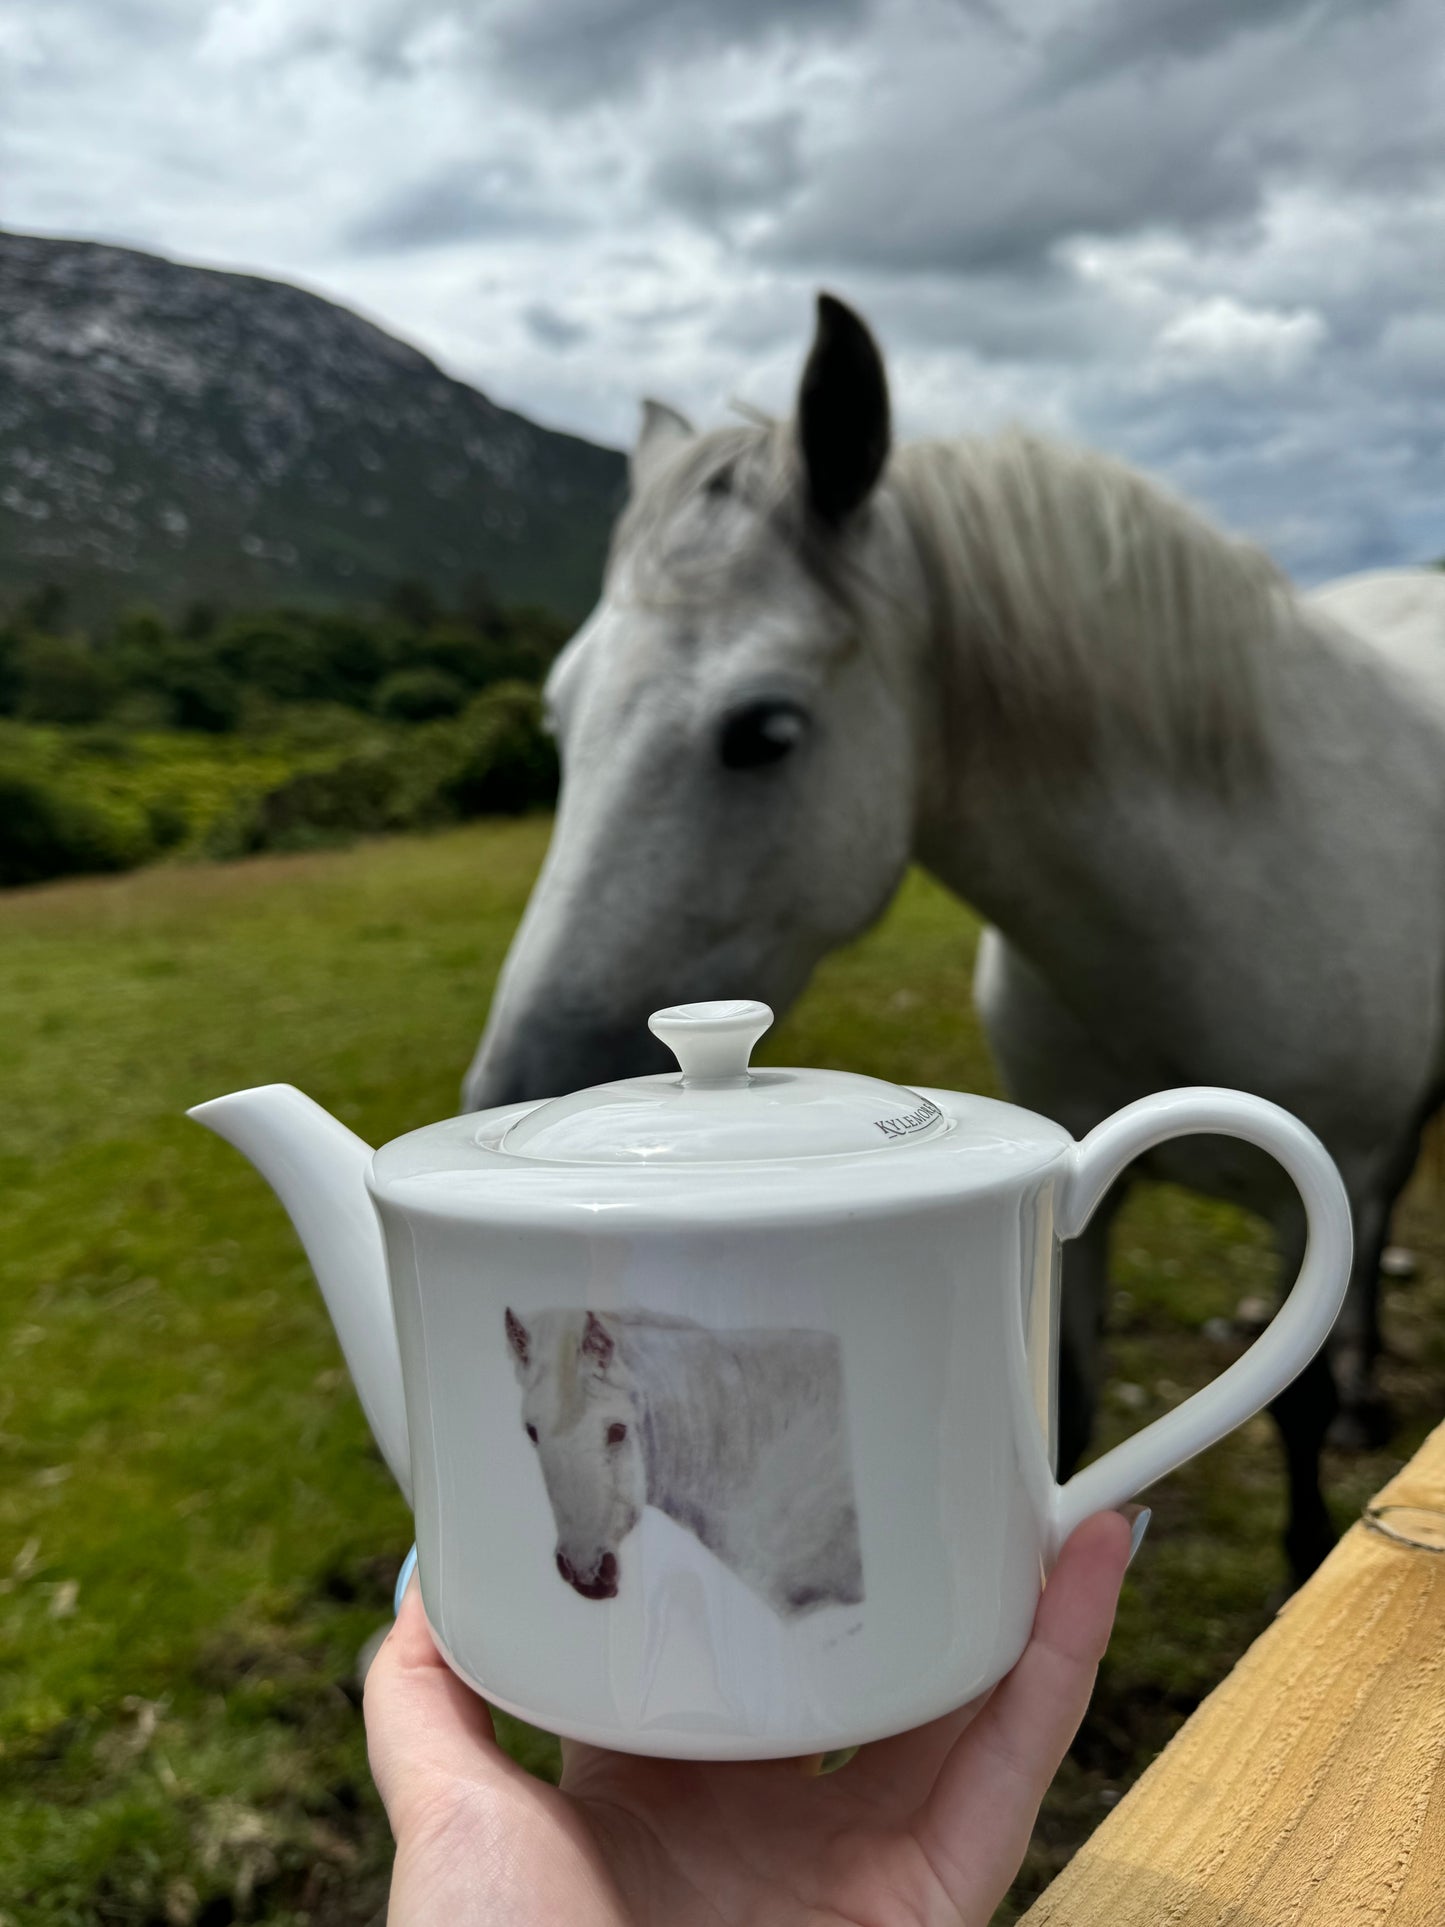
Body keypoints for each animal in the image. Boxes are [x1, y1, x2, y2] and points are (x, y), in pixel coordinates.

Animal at [475, 289, 1445, 1580]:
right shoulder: (1084, 1199)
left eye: (762, 731)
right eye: (559, 713)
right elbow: (1063, 1405)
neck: (1197, 915)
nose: (512, 1085)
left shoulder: (1310, 1193)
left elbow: (1286, 1398)